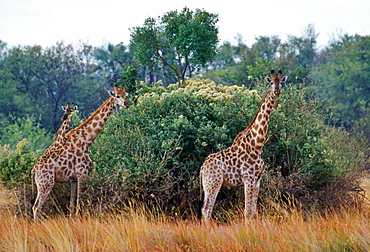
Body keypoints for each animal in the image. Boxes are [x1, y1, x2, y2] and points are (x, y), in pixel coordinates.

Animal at [31, 85, 129, 220]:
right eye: (117, 96)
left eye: (125, 95)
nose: (126, 104)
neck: (86, 140)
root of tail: (34, 170)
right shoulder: (82, 174)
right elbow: (79, 203)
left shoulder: (73, 178)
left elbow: (72, 205)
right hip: (46, 183)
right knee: (36, 207)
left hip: (42, 184)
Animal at [199, 69, 290, 222]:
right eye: (271, 83)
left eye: (281, 83)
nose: (277, 91)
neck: (257, 145)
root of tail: (202, 168)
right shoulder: (248, 178)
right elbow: (247, 212)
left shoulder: (257, 180)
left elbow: (254, 212)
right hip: (213, 182)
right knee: (206, 209)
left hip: (208, 184)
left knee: (205, 209)